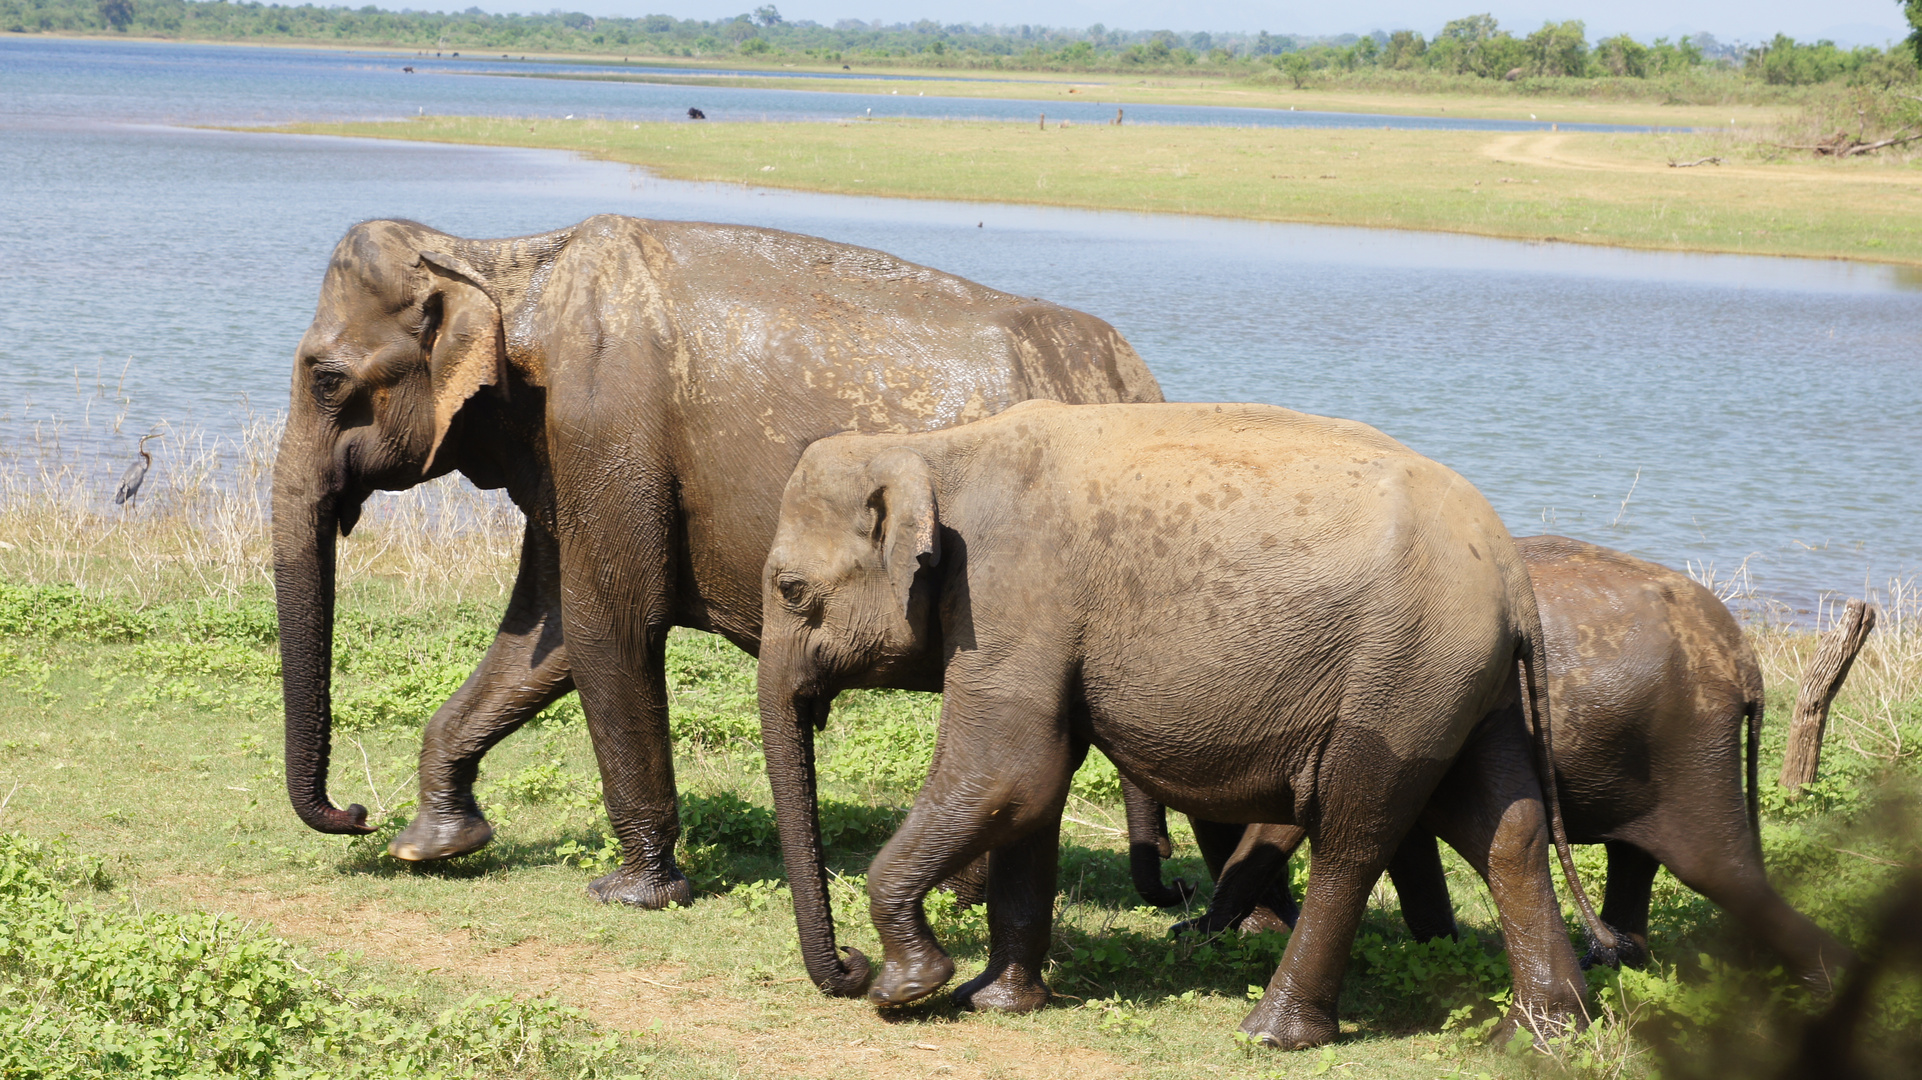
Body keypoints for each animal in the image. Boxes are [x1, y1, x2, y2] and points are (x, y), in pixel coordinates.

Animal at [278, 214, 1160, 903]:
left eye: (325, 380)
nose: (357, 815)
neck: (497, 259)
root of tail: (1135, 384)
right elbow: (546, 633)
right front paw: (430, 846)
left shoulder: (604, 424)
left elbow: (609, 627)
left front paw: (630, 893)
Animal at [757, 397, 1614, 1045]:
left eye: (792, 589)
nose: (849, 967)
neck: (932, 448)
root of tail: (1512, 569)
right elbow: (1032, 792)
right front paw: (994, 1002)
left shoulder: (1011, 597)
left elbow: (1009, 773)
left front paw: (908, 991)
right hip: (1464, 681)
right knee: (1504, 829)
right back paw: (1542, 1036)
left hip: (1403, 671)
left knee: (1355, 832)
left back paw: (1272, 1033)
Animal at [1130, 534, 1852, 991]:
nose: (1176, 887)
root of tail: (1744, 657)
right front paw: (1439, 949)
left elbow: (1286, 825)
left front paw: (1193, 937)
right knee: (1641, 856)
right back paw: (1611, 961)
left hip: (1690, 740)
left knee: (1715, 867)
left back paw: (1828, 981)